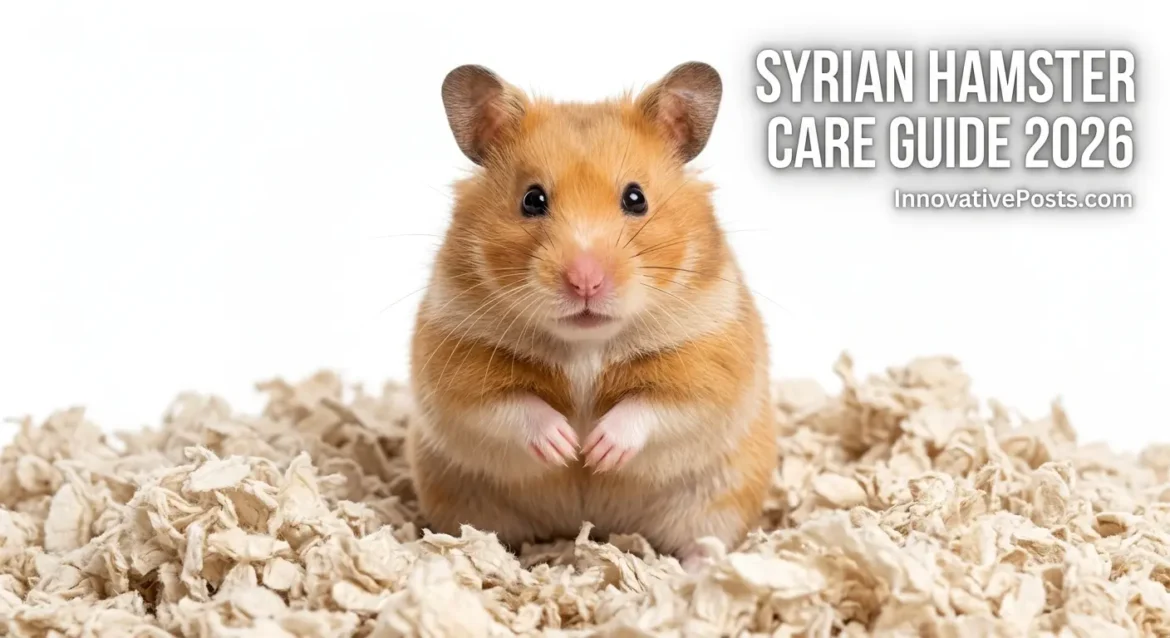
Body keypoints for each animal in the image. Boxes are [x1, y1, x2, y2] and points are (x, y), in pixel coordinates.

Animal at [405, 61, 777, 569]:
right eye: (532, 199)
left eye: (636, 198)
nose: (585, 281)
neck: (586, 343)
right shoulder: (456, 361)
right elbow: (509, 406)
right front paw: (566, 448)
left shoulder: (710, 360)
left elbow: (655, 406)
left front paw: (597, 452)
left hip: (719, 497)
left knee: (705, 540)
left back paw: (699, 571)